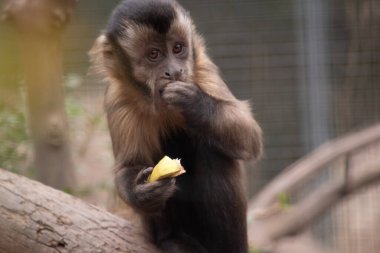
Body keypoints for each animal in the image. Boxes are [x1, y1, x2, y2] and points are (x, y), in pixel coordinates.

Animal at [91, 0, 262, 253]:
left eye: (178, 49)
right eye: (154, 54)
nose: (174, 71)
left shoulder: (202, 70)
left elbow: (250, 137)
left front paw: (194, 103)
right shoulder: (118, 97)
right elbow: (128, 166)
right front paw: (141, 193)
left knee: (213, 150)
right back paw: (172, 239)